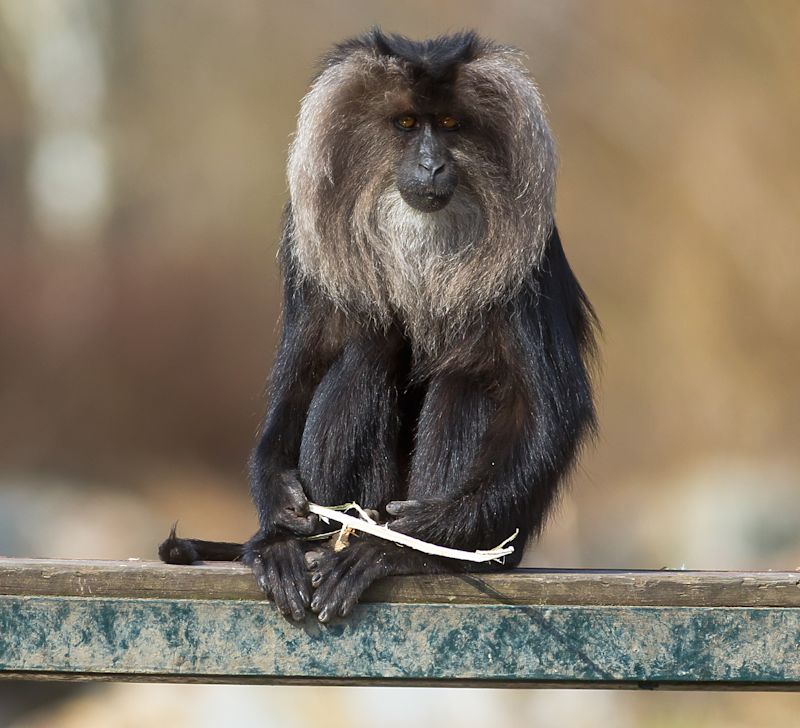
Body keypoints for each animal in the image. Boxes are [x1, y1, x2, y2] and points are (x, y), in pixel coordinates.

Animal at [159, 29, 596, 624]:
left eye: (451, 125)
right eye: (408, 124)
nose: (432, 166)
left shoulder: (530, 256)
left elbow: (547, 407)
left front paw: (426, 532)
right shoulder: (307, 241)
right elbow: (304, 372)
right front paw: (278, 509)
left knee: (468, 381)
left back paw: (397, 552)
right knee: (367, 352)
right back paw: (318, 542)